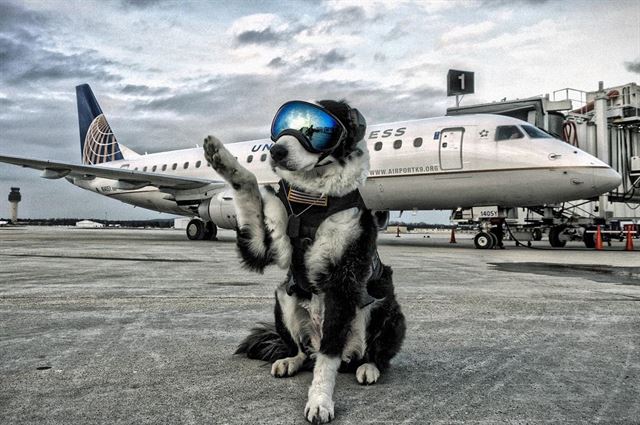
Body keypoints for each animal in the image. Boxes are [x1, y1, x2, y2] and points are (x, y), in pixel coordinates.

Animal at [205, 100, 404, 424]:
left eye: (317, 130)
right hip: (284, 298)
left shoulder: (342, 281)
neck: (312, 200)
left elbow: (327, 358)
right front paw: (221, 157)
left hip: (384, 307)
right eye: (282, 126)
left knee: (370, 354)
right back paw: (290, 361)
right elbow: (249, 186)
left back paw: (368, 368)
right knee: (304, 352)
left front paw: (320, 401)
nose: (275, 152)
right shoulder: (262, 246)